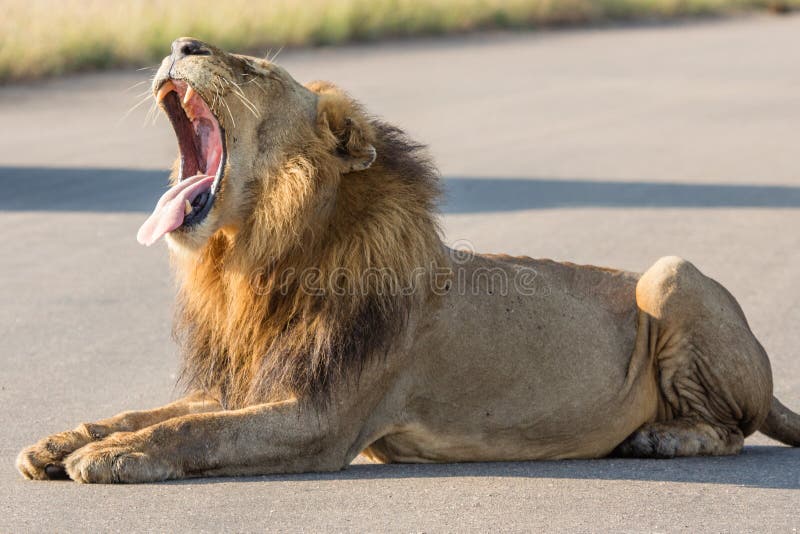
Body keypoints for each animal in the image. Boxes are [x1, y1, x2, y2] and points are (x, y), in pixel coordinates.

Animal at [14, 35, 800, 484]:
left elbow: (196, 429)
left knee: (734, 430)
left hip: (673, 272)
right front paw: (61, 442)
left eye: (256, 70)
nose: (182, 41)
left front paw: (115, 457)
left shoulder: (320, 417)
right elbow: (145, 410)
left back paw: (662, 436)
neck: (256, 260)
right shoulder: (250, 382)